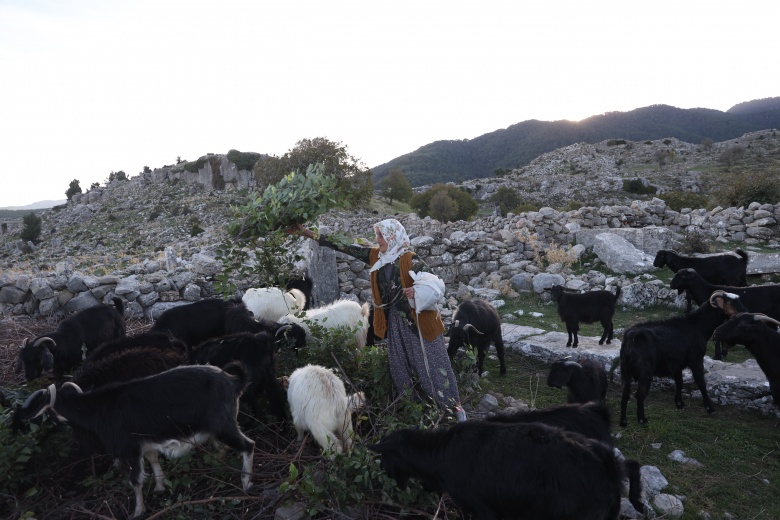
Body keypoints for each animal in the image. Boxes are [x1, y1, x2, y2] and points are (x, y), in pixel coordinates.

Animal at [16, 364, 253, 516]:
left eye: (45, 409)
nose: (23, 415)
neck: (98, 409)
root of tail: (234, 381)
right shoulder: (144, 444)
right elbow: (153, 461)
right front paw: (160, 487)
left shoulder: (128, 448)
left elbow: (135, 479)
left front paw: (138, 511)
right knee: (224, 447)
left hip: (224, 424)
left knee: (247, 446)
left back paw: (246, 483)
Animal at [616, 292, 744, 426]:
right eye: (729, 301)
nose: (744, 311)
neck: (697, 326)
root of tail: (631, 337)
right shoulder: (696, 360)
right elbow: (701, 383)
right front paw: (710, 408)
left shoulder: (677, 364)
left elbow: (679, 383)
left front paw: (679, 404)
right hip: (645, 373)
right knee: (640, 394)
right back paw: (642, 419)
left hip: (625, 371)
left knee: (625, 395)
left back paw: (623, 422)